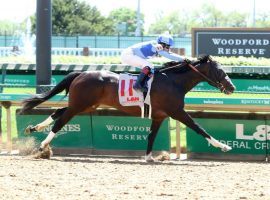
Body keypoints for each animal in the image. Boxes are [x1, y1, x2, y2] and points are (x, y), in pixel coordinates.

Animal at [21, 55, 235, 161]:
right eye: (220, 71)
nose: (232, 87)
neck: (174, 81)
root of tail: (80, 74)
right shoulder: (177, 112)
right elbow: (199, 128)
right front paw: (223, 146)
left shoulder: (159, 116)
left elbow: (151, 136)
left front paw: (149, 157)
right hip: (79, 105)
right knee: (60, 121)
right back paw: (42, 146)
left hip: (85, 105)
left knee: (58, 112)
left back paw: (33, 128)